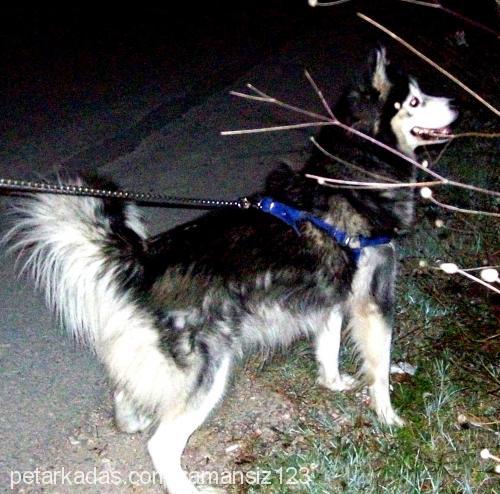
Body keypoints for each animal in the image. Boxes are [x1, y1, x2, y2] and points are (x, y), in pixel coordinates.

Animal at [4, 47, 458, 494]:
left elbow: (327, 348)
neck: (353, 171)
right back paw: (187, 485)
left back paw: (132, 418)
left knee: (124, 392)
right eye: (414, 101)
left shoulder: (329, 297)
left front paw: (333, 383)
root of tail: (146, 258)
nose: (456, 103)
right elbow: (379, 369)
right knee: (161, 445)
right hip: (211, 369)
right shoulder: (372, 300)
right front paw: (390, 418)